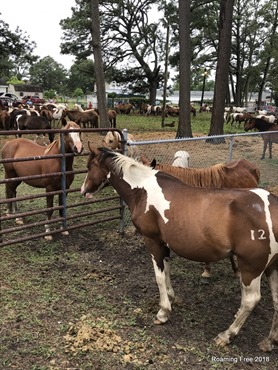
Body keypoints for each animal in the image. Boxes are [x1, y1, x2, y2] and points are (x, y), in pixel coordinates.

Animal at [80, 146, 278, 352]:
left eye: (89, 166)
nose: (83, 190)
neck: (143, 190)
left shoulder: (152, 242)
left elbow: (159, 276)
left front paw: (163, 312)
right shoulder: (164, 245)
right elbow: (167, 272)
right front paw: (171, 298)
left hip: (251, 268)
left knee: (250, 300)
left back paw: (227, 334)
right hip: (272, 267)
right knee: (276, 301)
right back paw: (270, 341)